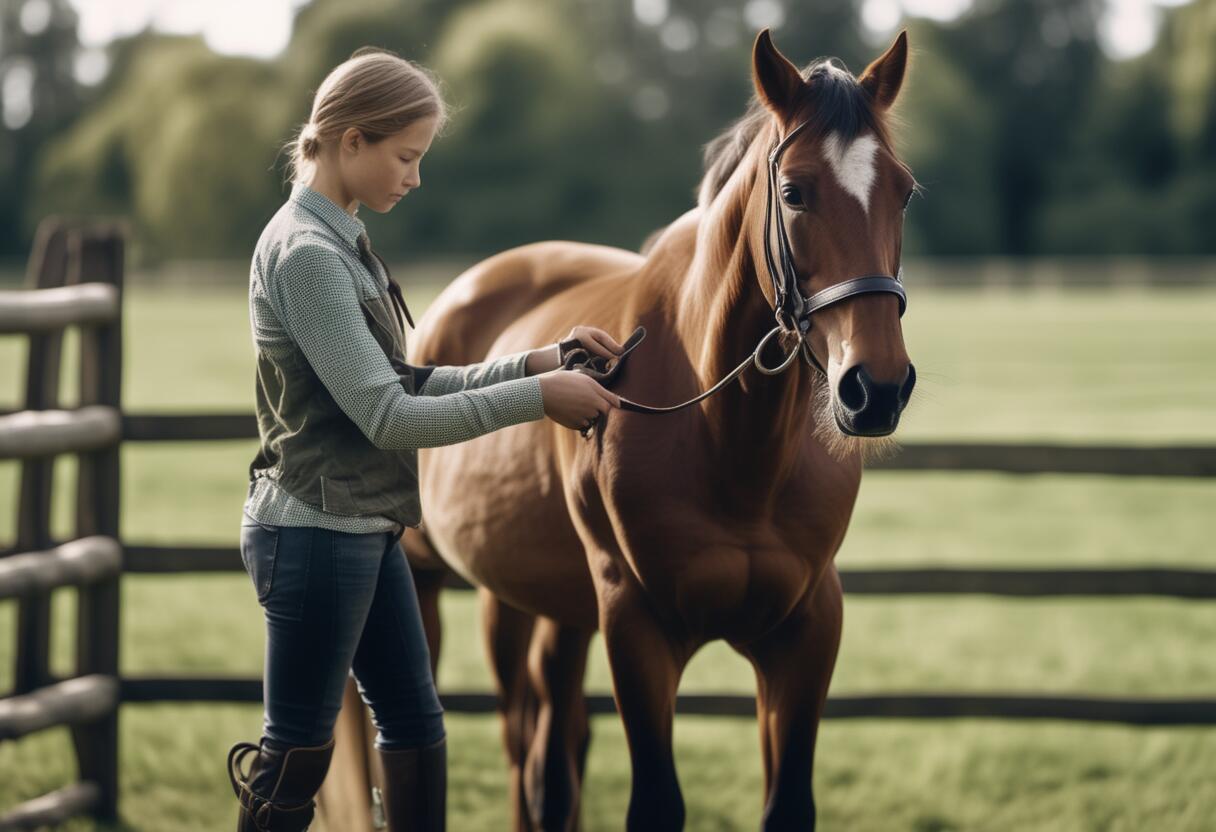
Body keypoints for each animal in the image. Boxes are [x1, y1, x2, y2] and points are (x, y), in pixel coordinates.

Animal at [316, 28, 917, 832]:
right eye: (794, 192)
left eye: (903, 191)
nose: (875, 388)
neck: (734, 450)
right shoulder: (638, 630)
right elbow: (654, 802)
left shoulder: (806, 632)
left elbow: (786, 803)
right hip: (430, 585)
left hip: (555, 613)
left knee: (547, 757)